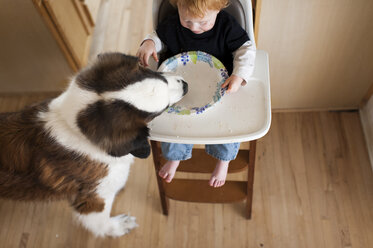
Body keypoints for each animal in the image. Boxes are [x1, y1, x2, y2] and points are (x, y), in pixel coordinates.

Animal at [0, 52, 187, 236]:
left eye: (156, 74)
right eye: (161, 110)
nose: (185, 85)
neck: (74, 128)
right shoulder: (94, 198)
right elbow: (101, 223)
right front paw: (119, 226)